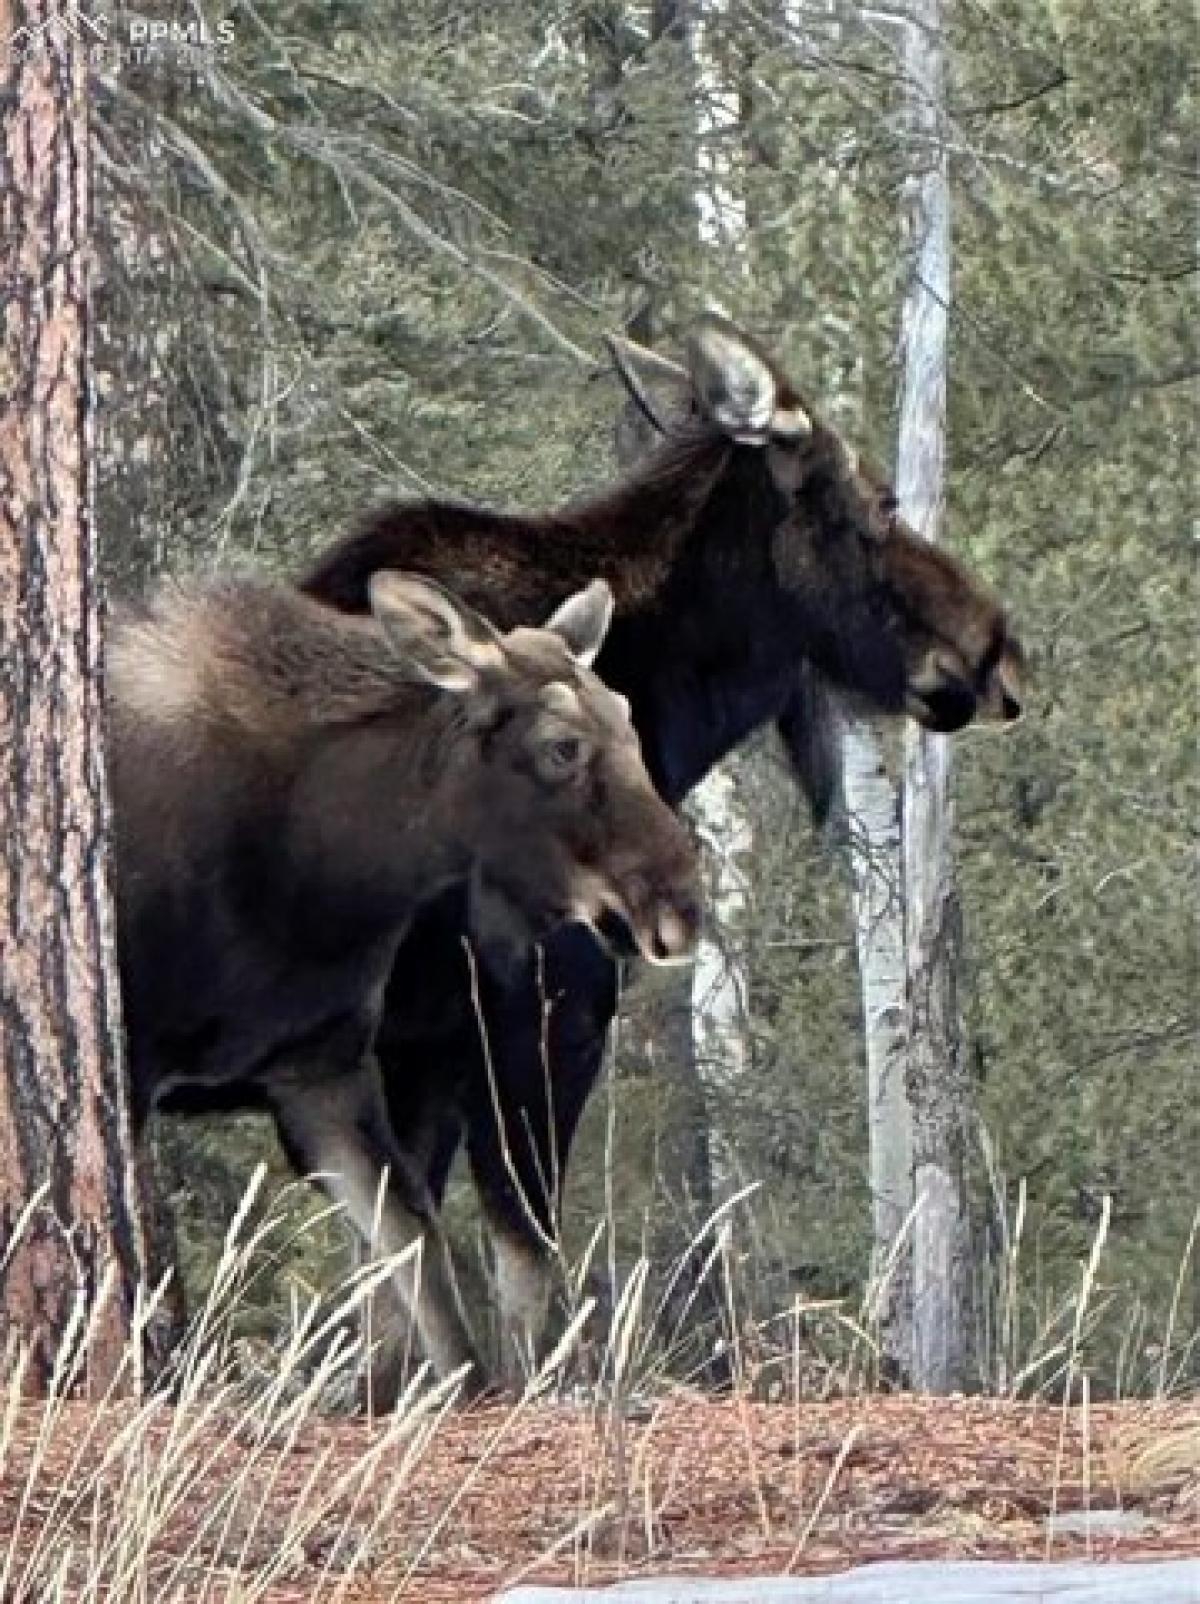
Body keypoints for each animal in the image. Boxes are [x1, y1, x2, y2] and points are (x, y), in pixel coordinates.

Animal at [109, 567, 702, 1392]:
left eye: (628, 721)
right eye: (562, 746)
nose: (683, 905)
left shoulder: (321, 1069)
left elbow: (421, 1255)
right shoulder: (132, 1059)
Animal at [182, 309, 1026, 1392]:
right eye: (878, 500)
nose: (998, 649)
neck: (664, 707)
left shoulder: (418, 1049)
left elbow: (394, 1304)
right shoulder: (546, 1013)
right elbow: (521, 1280)